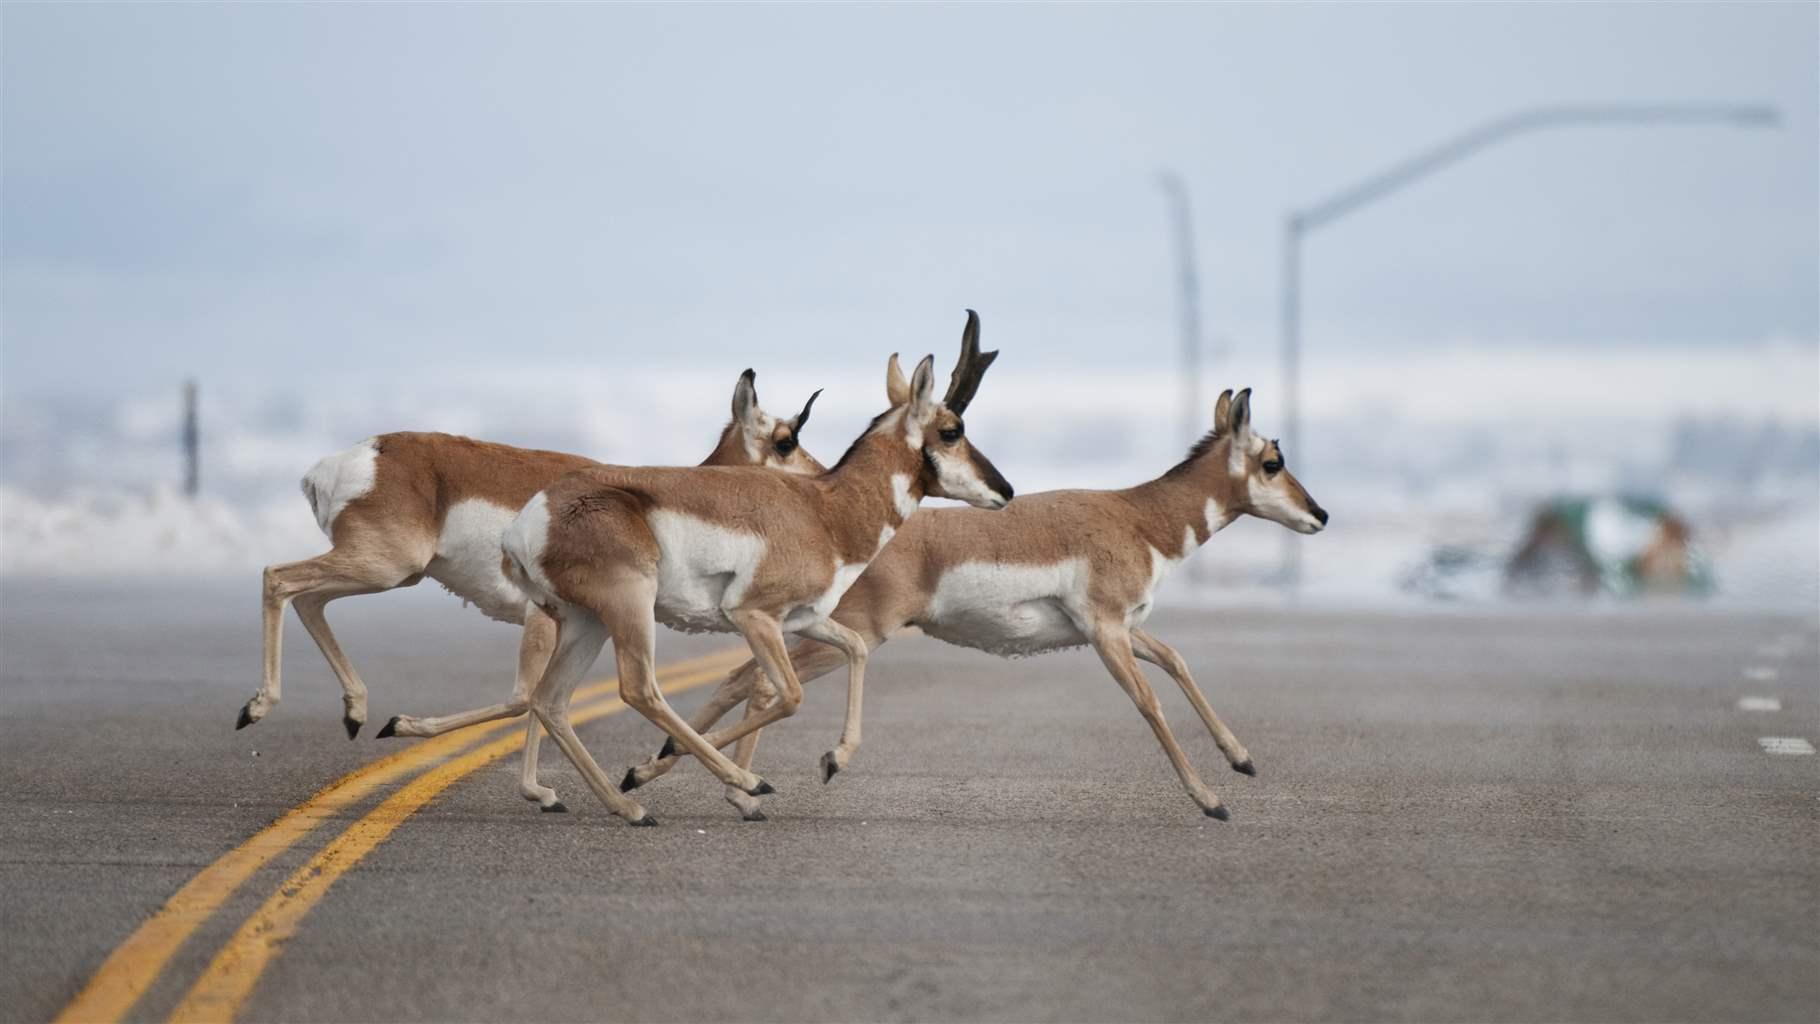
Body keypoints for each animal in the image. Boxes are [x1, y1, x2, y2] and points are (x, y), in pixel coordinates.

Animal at [238, 367, 822, 771]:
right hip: (384, 566)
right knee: (278, 577)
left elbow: (537, 701)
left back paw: (354, 713)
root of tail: (359, 456)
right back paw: (258, 709)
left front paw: (544, 792)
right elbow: (526, 699)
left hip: (387, 573)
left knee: (309, 597)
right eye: (785, 440)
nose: (822, 480)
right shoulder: (545, 621)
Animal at [427, 312, 1019, 825]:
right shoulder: (754, 617)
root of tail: (535, 515)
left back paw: (629, 809)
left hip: (584, 620)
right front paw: (684, 774)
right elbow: (790, 695)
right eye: (952, 429)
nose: (1006, 491)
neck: (825, 510)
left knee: (550, 701)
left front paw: (833, 758)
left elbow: (853, 650)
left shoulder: (806, 619)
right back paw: (698, 786)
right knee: (638, 688)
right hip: (628, 607)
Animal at [626, 389, 1324, 822]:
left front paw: (1242, 759)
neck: (1137, 515)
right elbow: (1148, 703)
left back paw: (689, 781)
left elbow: (1178, 661)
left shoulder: (1126, 630)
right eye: (1273, 460)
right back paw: (708, 783)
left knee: (744, 680)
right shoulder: (1106, 633)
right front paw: (1210, 799)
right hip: (846, 629)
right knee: (759, 682)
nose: (1319, 514)